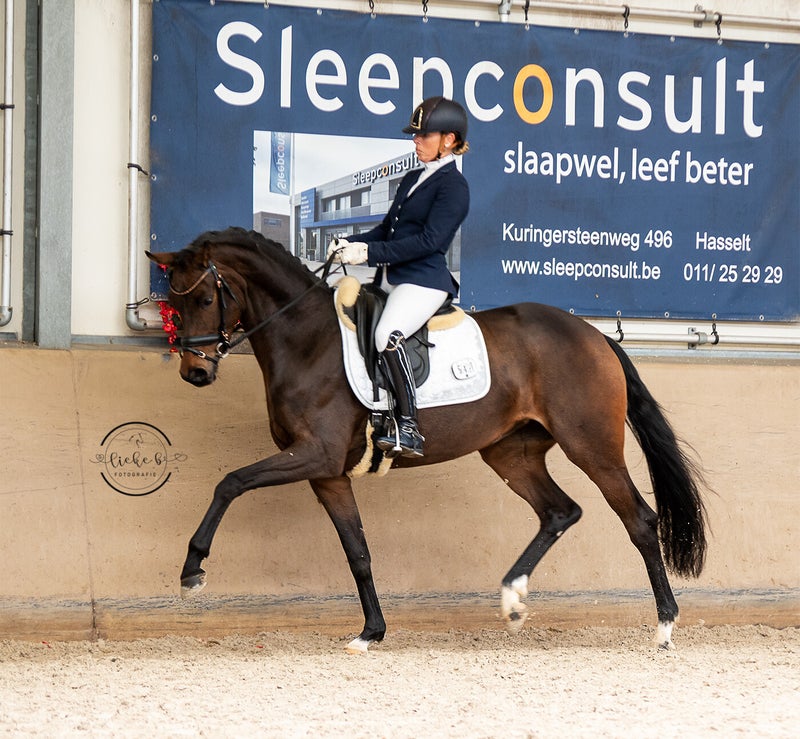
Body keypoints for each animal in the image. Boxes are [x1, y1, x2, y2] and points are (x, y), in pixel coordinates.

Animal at [146, 226, 707, 653]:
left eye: (204, 298)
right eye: (170, 303)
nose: (195, 373)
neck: (307, 340)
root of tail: (595, 335)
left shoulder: (313, 455)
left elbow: (231, 482)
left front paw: (193, 569)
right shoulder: (327, 473)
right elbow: (358, 552)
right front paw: (370, 633)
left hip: (591, 447)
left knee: (639, 520)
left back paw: (664, 627)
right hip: (511, 452)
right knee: (559, 511)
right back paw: (513, 599)